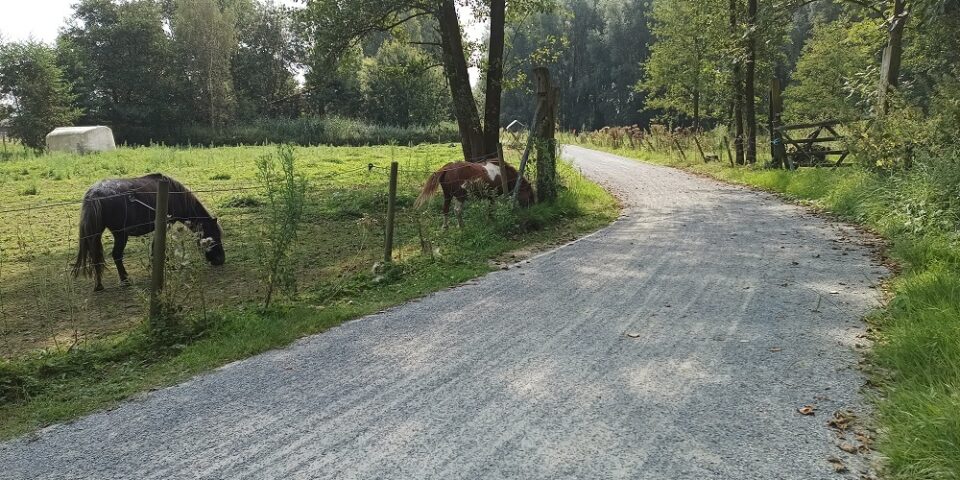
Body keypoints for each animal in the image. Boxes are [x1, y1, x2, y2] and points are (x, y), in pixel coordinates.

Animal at [73, 174, 225, 290]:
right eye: (214, 236)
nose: (220, 260)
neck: (174, 195)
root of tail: (95, 194)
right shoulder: (166, 224)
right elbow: (158, 246)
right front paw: (167, 265)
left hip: (96, 235)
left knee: (95, 257)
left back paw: (99, 285)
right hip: (120, 234)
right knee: (116, 255)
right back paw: (125, 280)